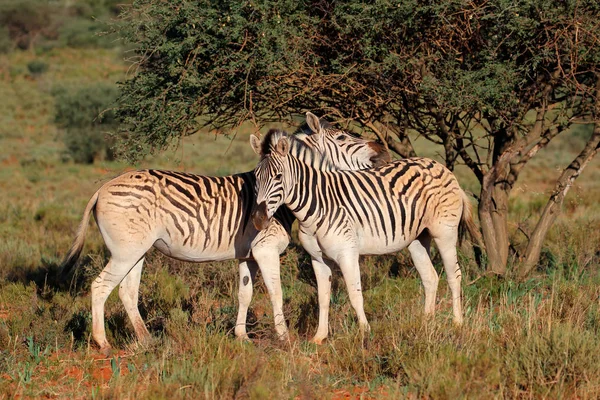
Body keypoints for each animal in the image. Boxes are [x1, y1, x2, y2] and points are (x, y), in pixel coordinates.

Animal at [61, 111, 390, 354]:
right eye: (343, 137)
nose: (382, 150)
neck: (280, 200)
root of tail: (103, 188)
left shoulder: (248, 255)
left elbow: (244, 294)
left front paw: (242, 337)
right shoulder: (265, 250)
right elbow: (276, 292)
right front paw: (284, 337)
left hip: (136, 250)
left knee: (127, 291)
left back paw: (145, 340)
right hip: (126, 251)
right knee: (100, 286)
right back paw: (103, 343)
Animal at [251, 130, 480, 344]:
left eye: (278, 177)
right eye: (255, 178)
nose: (258, 219)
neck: (318, 204)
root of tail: (441, 166)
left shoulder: (347, 253)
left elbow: (355, 294)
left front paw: (365, 333)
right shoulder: (318, 258)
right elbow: (323, 298)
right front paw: (319, 337)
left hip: (445, 233)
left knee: (454, 275)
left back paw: (457, 323)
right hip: (417, 239)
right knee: (430, 277)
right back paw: (426, 323)